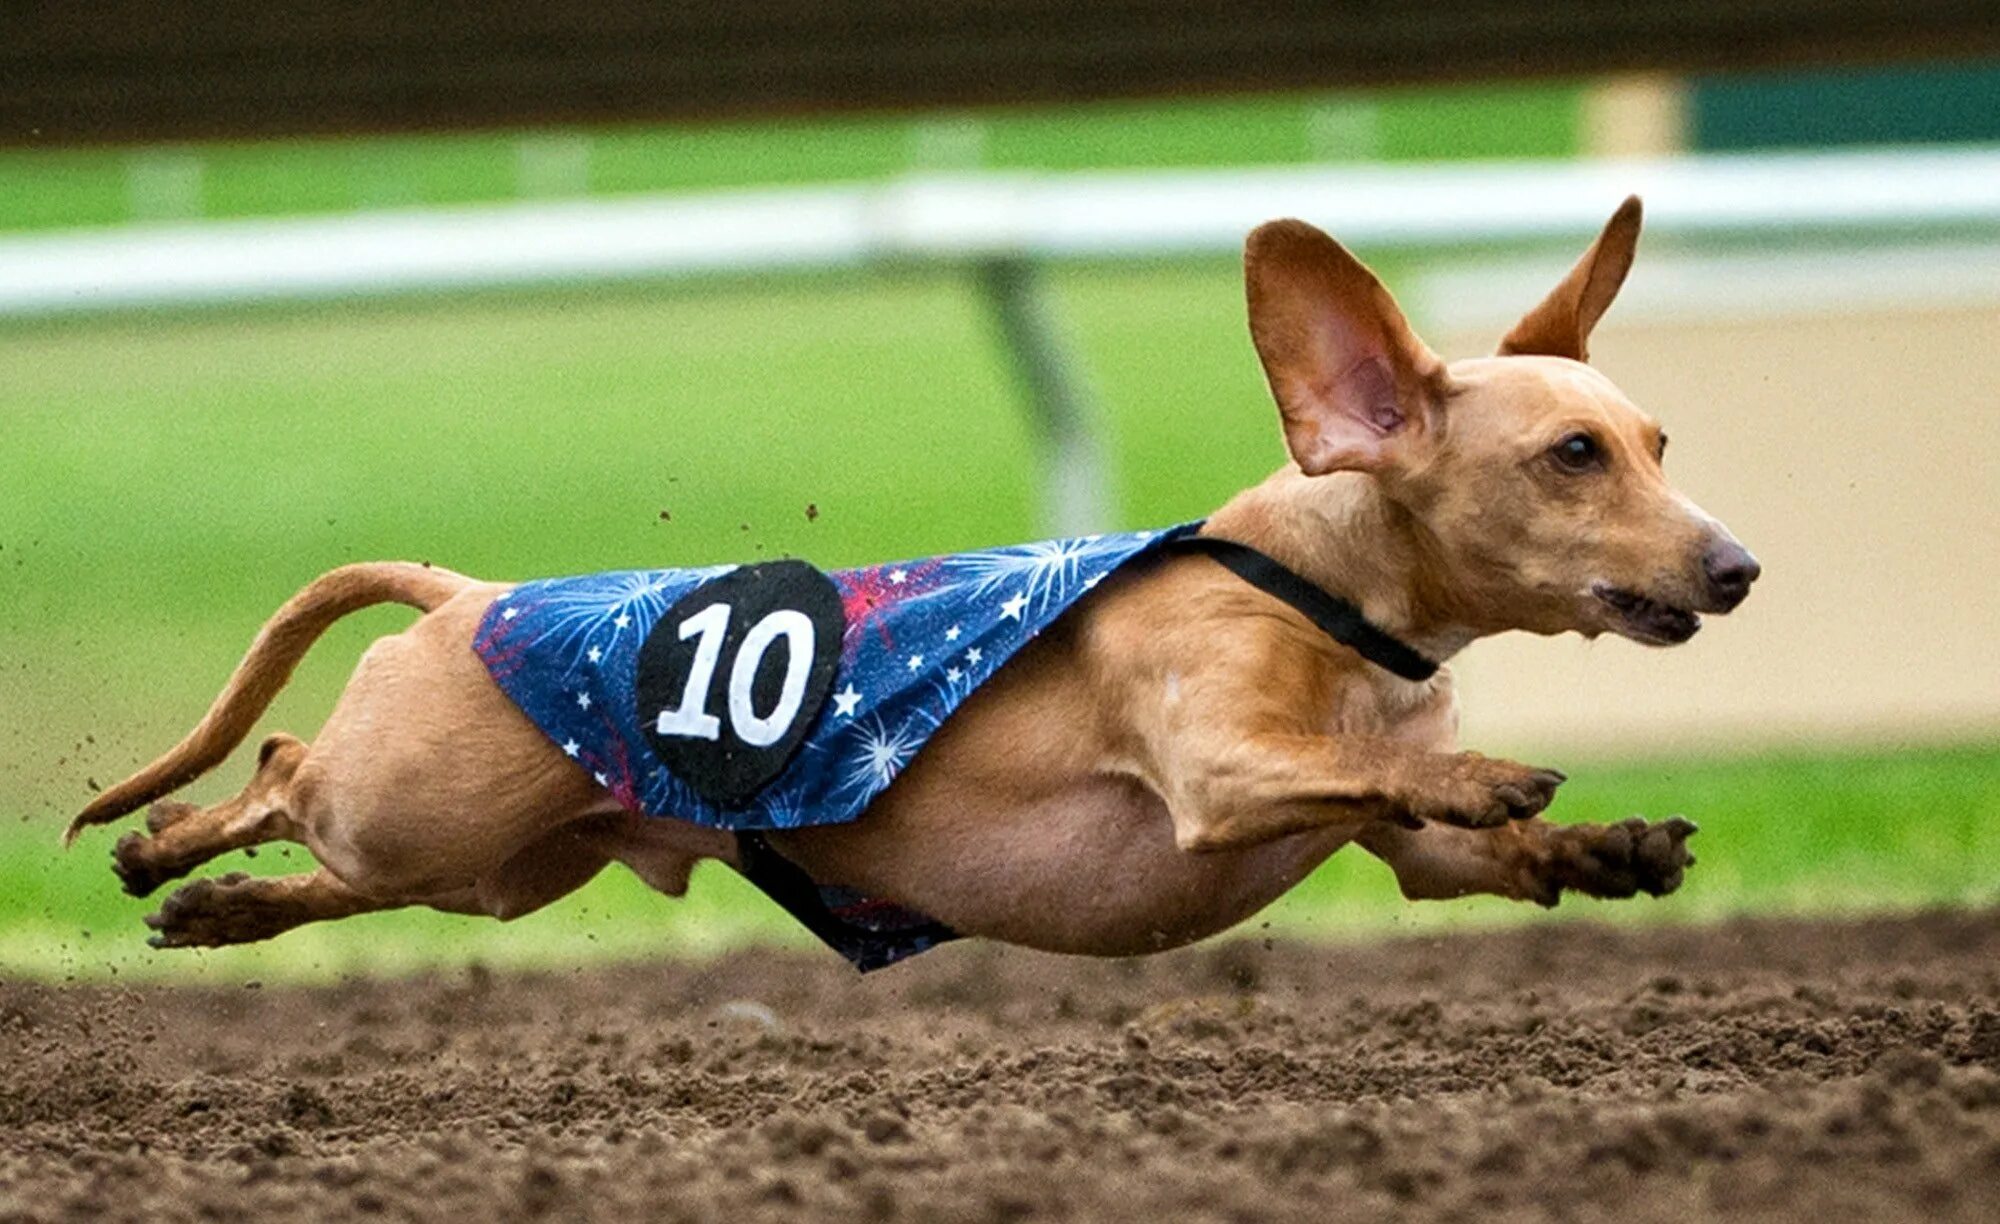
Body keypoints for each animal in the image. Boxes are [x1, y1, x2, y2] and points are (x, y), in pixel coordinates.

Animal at [66, 196, 1752, 964]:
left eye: (1658, 440)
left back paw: (217, 911)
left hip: (493, 869)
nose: (1736, 565)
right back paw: (165, 846)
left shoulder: (1400, 857)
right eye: (1573, 457)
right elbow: (1370, 774)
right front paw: (1491, 774)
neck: (1320, 596)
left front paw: (1609, 846)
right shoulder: (1217, 768)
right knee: (285, 768)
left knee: (333, 870)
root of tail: (469, 597)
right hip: (416, 803)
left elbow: (1454, 844)